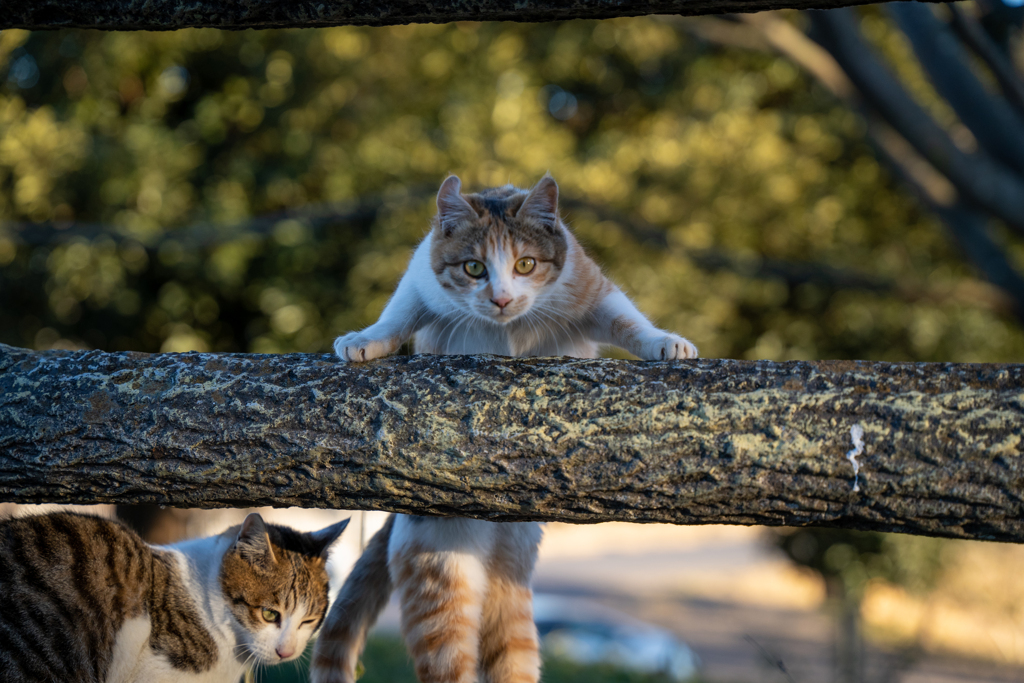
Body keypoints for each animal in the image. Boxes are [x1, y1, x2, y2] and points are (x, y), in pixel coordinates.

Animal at [311, 174, 696, 683]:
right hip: (442, 578)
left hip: (512, 586)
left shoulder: (586, 284)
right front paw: (364, 340)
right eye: (474, 267)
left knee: (511, 652)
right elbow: (397, 313)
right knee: (448, 658)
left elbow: (627, 319)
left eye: (526, 263)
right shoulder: (421, 279)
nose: (502, 298)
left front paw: (666, 342)